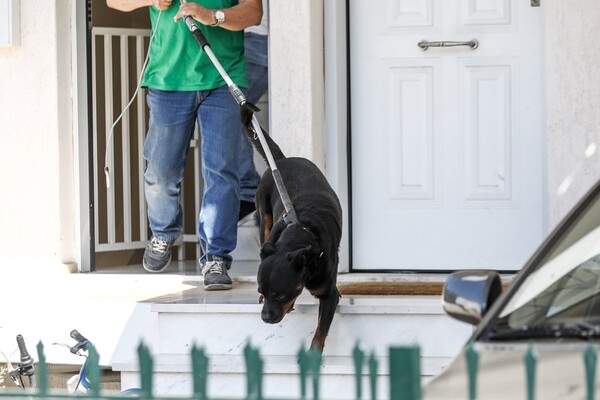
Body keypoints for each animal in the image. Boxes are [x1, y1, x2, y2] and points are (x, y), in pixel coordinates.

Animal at [239, 103, 342, 354]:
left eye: (280, 294)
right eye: (262, 291)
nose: (265, 318)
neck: (302, 231)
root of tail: (283, 161)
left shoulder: (330, 294)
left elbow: (321, 330)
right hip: (263, 214)